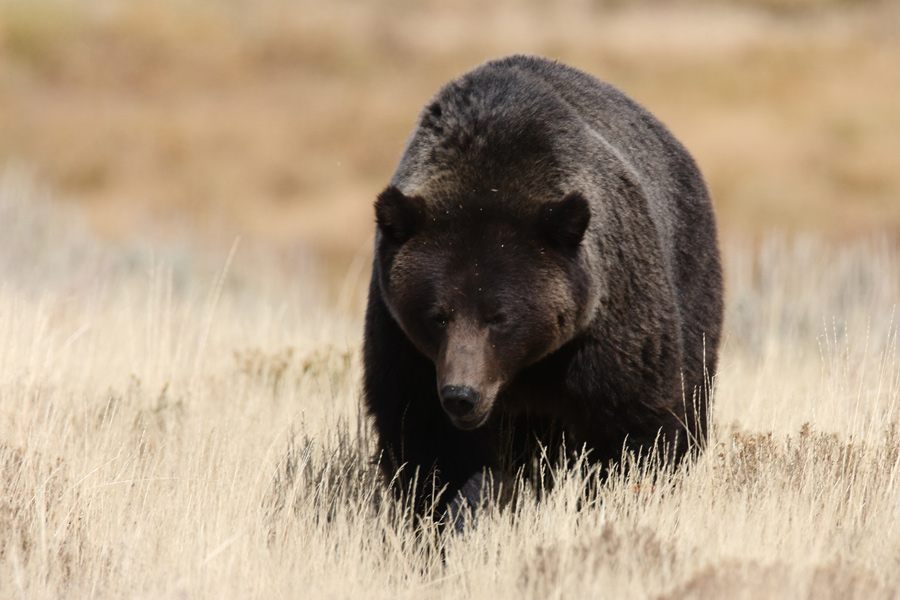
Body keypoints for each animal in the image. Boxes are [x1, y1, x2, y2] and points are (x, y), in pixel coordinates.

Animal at [362, 55, 720, 524]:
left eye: (499, 316)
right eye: (437, 315)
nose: (462, 396)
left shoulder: (606, 328)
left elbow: (630, 426)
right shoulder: (406, 346)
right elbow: (428, 442)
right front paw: (453, 515)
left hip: (689, 272)